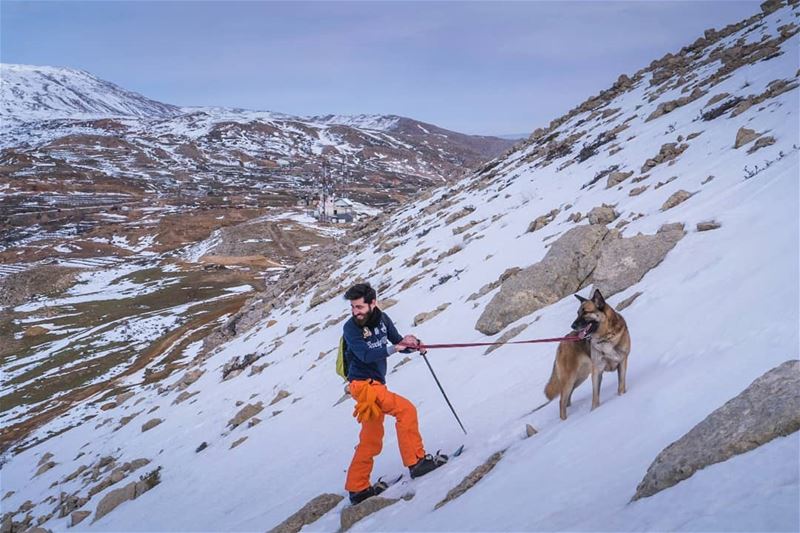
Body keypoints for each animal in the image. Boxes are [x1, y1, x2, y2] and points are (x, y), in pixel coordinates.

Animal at [544, 286, 632, 420]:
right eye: (578, 313)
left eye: (585, 312)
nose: (573, 325)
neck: (605, 337)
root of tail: (563, 341)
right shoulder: (597, 372)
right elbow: (595, 396)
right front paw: (594, 412)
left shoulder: (622, 363)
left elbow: (621, 386)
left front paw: (621, 396)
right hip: (570, 378)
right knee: (561, 401)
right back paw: (564, 420)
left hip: (580, 377)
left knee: (567, 397)